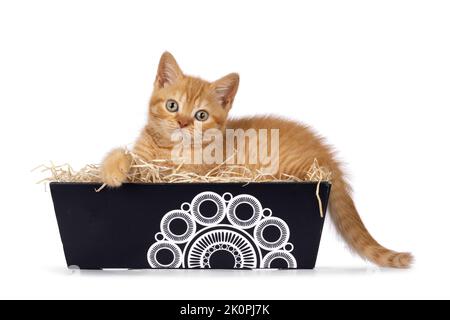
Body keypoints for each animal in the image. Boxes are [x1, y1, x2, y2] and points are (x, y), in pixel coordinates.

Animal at [101, 52, 412, 268]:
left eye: (201, 115)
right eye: (171, 105)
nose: (182, 123)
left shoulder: (192, 172)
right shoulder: (145, 158)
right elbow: (127, 155)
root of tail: (327, 156)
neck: (167, 148)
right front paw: (112, 170)